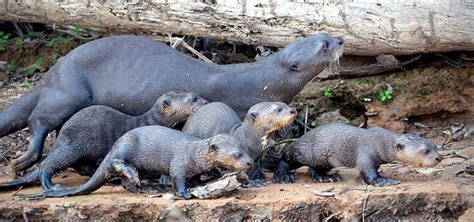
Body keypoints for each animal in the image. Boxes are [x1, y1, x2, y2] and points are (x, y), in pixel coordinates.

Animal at [0, 33, 342, 173]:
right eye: (324, 46)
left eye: (323, 33)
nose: (340, 39)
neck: (261, 81)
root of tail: (54, 69)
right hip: (67, 91)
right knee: (39, 121)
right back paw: (24, 160)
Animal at [0, 91, 207, 191]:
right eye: (193, 99)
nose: (206, 102)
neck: (152, 120)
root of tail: (61, 136)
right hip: (73, 146)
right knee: (47, 165)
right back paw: (51, 185)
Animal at [26, 125, 252, 200]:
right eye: (237, 154)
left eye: (245, 149)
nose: (250, 163)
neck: (195, 154)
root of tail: (115, 144)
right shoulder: (179, 163)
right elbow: (178, 178)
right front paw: (185, 194)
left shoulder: (195, 169)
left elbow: (195, 178)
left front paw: (199, 184)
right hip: (125, 148)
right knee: (115, 164)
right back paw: (133, 174)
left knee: (126, 184)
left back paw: (147, 187)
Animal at [272, 123, 442, 186]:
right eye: (425, 151)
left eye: (434, 146)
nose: (439, 157)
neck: (380, 142)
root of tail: (300, 138)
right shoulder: (366, 155)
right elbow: (368, 173)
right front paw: (384, 181)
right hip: (302, 152)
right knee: (285, 158)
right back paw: (283, 176)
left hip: (324, 160)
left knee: (312, 170)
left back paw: (326, 177)